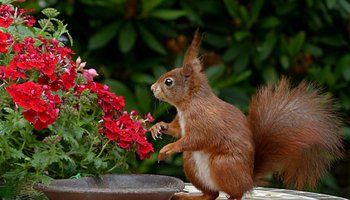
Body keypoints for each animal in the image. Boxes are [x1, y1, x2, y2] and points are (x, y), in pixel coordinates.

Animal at [149, 30, 344, 199]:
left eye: (168, 82)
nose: (152, 88)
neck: (187, 104)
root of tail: (249, 180)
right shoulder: (182, 123)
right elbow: (177, 131)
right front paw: (158, 127)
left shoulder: (204, 120)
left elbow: (196, 138)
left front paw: (169, 148)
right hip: (191, 162)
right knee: (212, 194)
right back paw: (189, 196)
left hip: (223, 165)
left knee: (235, 192)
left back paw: (232, 196)